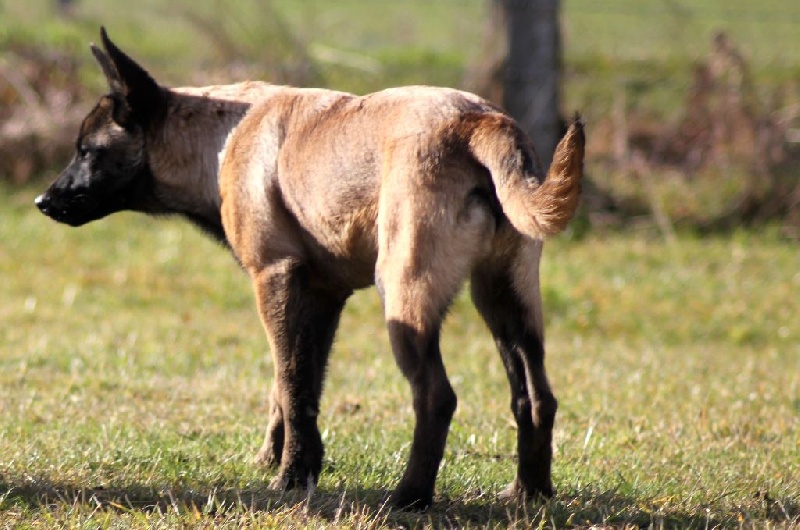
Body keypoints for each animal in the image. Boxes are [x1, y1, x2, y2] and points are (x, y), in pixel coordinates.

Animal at [36, 28, 585, 509]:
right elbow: (297, 387)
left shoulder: (275, 279)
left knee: (437, 397)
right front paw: (289, 459)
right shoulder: (321, 297)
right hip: (505, 302)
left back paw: (409, 497)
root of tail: (479, 122)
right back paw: (529, 491)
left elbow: (291, 380)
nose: (44, 201)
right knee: (536, 398)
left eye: (87, 151)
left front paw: (291, 474)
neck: (221, 139)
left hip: (405, 299)